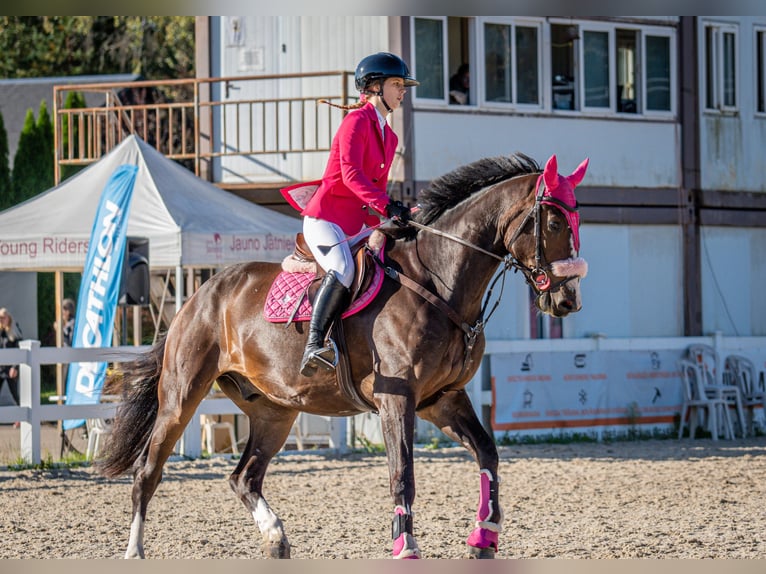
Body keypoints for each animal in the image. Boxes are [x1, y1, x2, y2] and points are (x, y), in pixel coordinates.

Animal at [99, 152, 592, 560]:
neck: (438, 281)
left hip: (275, 411)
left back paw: (276, 538)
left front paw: (484, 537)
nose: (568, 301)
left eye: (577, 223)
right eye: (553, 224)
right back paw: (134, 552)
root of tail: (201, 293)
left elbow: (488, 453)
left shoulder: (443, 398)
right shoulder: (397, 398)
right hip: (181, 397)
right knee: (147, 474)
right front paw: (405, 546)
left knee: (245, 477)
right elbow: (402, 473)